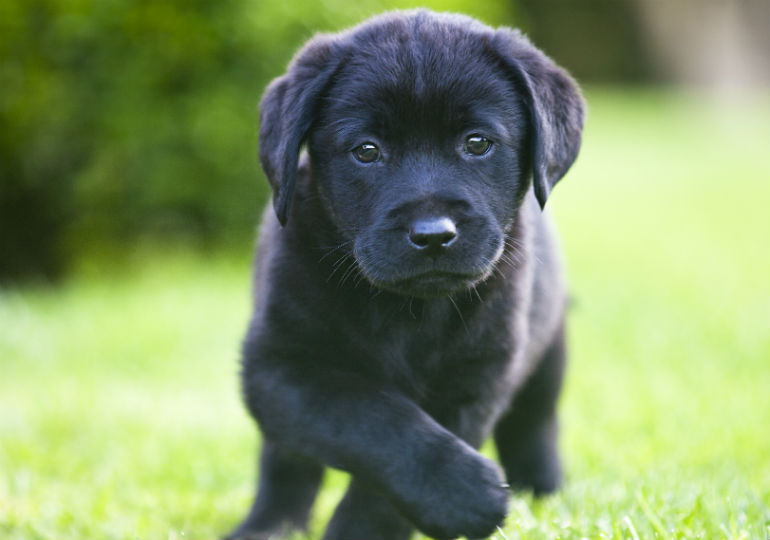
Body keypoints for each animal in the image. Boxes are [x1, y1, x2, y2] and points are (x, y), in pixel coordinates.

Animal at [228, 9, 584, 540]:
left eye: (477, 143)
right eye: (367, 150)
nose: (433, 235)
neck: (407, 311)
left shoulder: (474, 378)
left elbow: (385, 481)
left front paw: (364, 530)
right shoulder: (278, 365)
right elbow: (370, 418)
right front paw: (464, 493)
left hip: (547, 358)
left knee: (534, 426)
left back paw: (544, 493)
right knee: (286, 462)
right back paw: (269, 525)